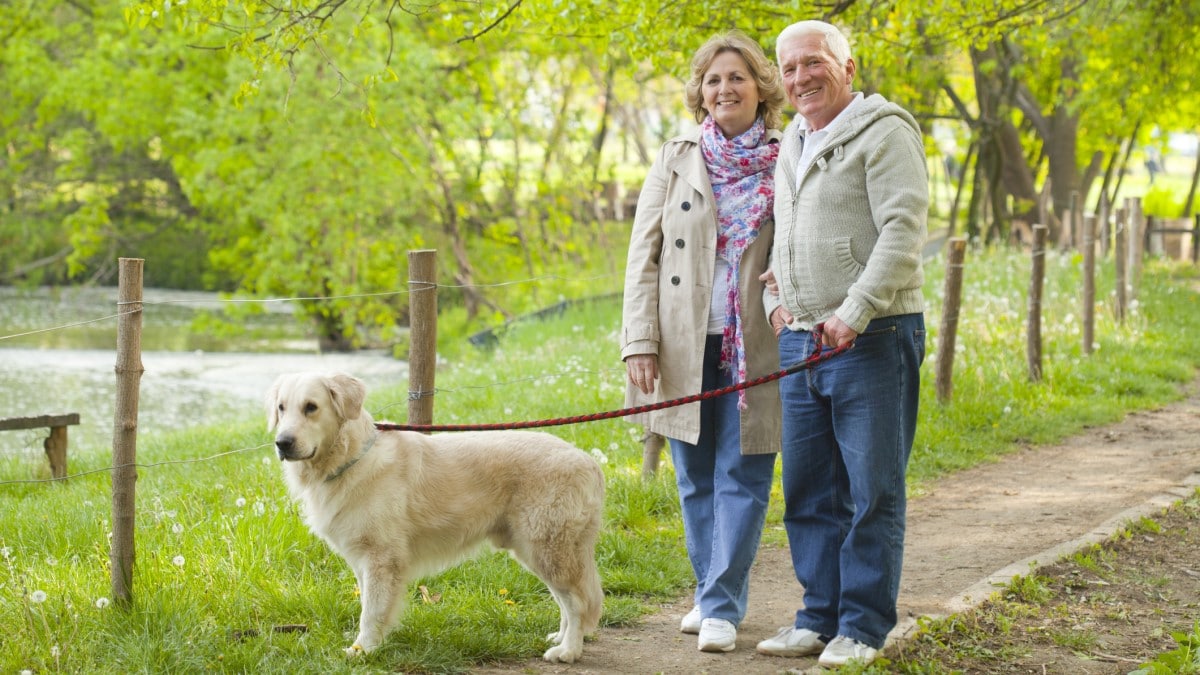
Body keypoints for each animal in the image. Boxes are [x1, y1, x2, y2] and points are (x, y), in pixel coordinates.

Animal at [272, 369, 609, 658]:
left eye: (311, 407)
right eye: (281, 408)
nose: (282, 443)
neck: (350, 458)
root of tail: (590, 463)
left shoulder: (381, 559)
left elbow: (372, 611)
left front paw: (362, 650)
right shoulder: (363, 560)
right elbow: (369, 604)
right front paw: (369, 645)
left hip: (547, 549)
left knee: (577, 603)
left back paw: (568, 651)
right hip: (540, 552)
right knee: (566, 601)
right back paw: (559, 637)